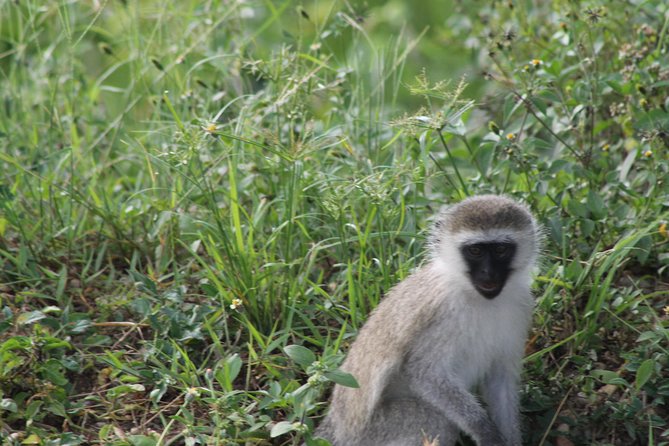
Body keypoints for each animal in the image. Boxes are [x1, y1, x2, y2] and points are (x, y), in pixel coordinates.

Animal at [314, 195, 540, 446]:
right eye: (475, 251)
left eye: (501, 249)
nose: (489, 274)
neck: (478, 298)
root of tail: (337, 428)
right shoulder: (440, 313)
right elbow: (424, 373)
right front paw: (485, 431)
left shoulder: (521, 305)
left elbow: (500, 378)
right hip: (376, 432)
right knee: (436, 419)